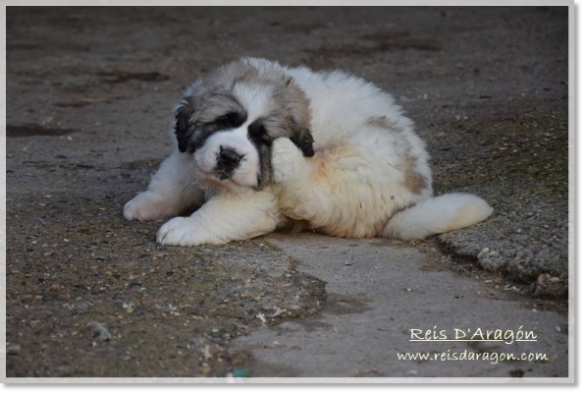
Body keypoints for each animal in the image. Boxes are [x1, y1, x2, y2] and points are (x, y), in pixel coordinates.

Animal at [124, 57, 492, 246]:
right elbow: (172, 178)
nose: (229, 157)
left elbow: (221, 210)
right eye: (224, 121)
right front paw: (146, 204)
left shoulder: (257, 194)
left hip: (359, 156)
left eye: (262, 137)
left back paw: (289, 156)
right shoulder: (189, 152)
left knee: (312, 188)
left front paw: (185, 227)